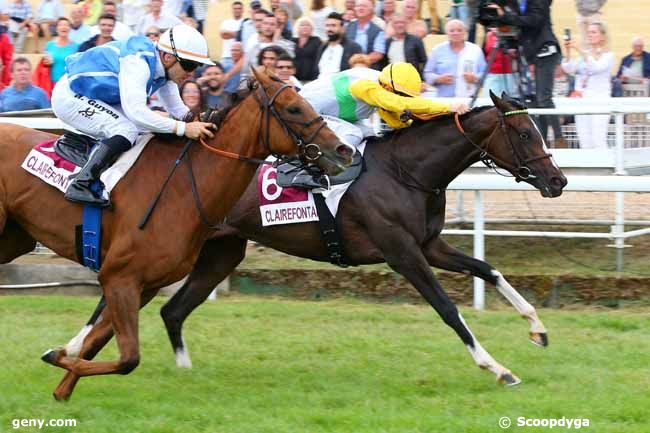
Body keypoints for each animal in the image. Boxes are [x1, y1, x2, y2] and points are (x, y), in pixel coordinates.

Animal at [0, 68, 354, 398]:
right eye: (293, 108)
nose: (343, 150)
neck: (184, 187)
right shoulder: (119, 277)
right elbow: (127, 359)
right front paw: (57, 356)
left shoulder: (144, 285)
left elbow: (96, 345)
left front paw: (62, 378)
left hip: (15, 239)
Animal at [64, 92, 560, 388]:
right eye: (523, 133)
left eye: (537, 130)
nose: (558, 181)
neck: (407, 171)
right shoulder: (402, 253)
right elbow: (448, 309)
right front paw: (497, 367)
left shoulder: (428, 245)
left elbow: (488, 270)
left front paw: (537, 328)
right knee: (124, 298)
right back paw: (73, 350)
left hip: (220, 252)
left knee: (171, 309)